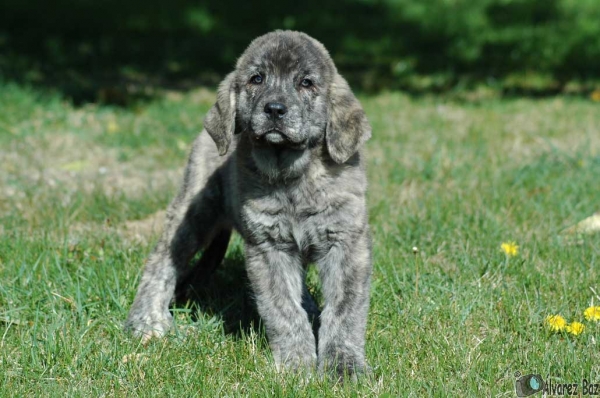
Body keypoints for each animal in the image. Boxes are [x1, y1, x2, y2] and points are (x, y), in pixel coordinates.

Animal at [125, 30, 372, 376]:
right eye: (257, 78)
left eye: (306, 82)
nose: (275, 109)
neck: (292, 174)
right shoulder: (268, 246)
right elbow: (283, 309)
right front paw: (297, 366)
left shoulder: (345, 242)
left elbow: (345, 311)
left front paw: (343, 367)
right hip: (194, 210)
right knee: (162, 260)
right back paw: (146, 321)